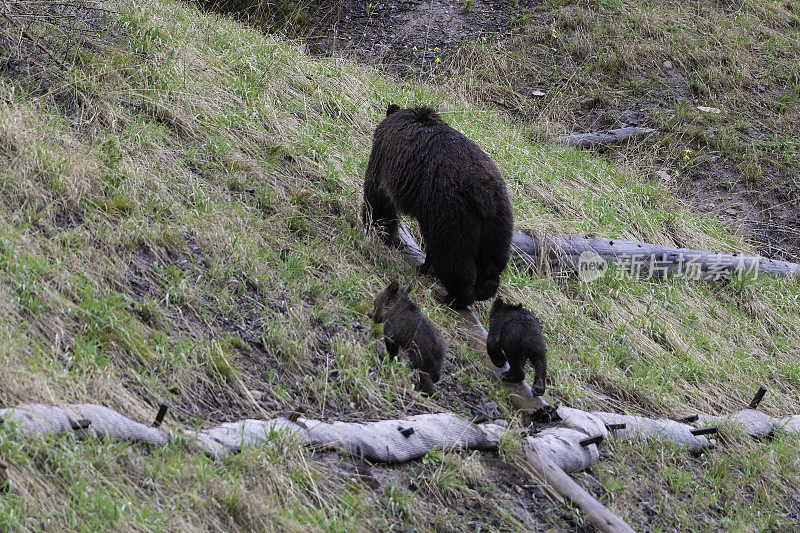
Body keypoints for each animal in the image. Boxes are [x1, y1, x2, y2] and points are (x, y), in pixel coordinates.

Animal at [360, 105, 512, 308]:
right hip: (498, 227)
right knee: (491, 264)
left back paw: (455, 296)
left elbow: (379, 198)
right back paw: (480, 288)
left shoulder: (385, 155)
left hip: (450, 214)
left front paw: (377, 230)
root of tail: (486, 196)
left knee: (452, 257)